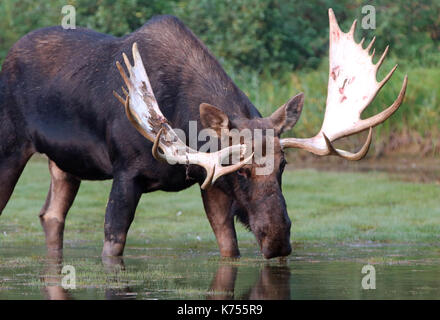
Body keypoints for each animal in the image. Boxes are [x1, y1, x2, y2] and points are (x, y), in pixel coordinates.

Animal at [0, 9, 406, 260]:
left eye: (284, 165)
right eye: (241, 169)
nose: (278, 239)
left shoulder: (207, 181)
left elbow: (228, 246)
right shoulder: (126, 174)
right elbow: (113, 243)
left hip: (63, 165)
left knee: (51, 214)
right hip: (11, 147)